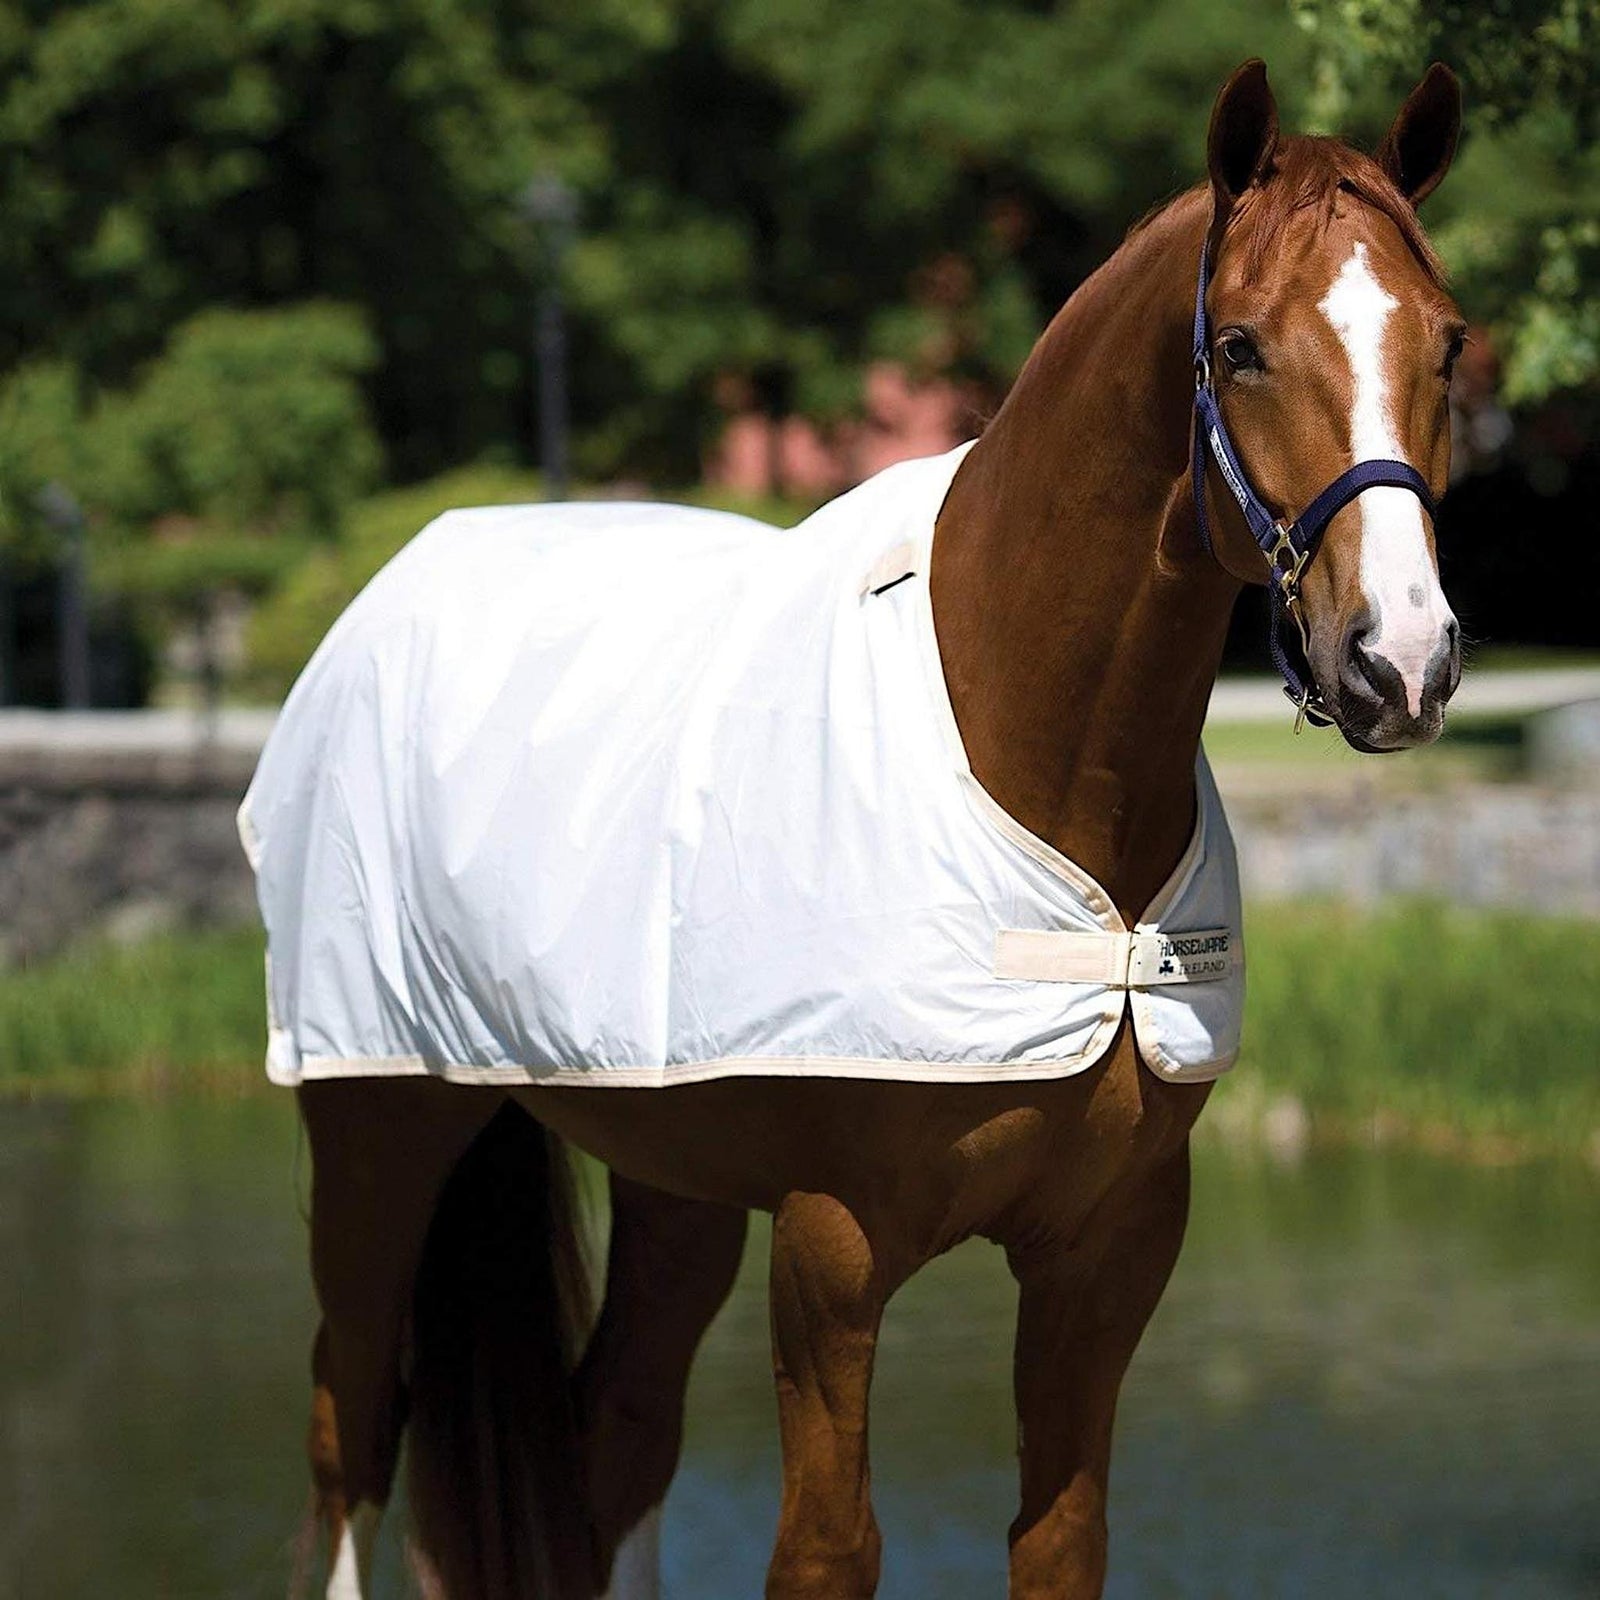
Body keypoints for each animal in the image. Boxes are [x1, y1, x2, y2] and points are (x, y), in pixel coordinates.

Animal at [272, 58, 1467, 1600]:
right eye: (1244, 346)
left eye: (1448, 343)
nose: (1402, 659)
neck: (1029, 764)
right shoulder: (833, 1254)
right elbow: (827, 1548)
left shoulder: (1108, 1248)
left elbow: (1059, 1536)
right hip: (377, 1124)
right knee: (349, 1440)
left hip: (670, 1176)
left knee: (616, 1443)